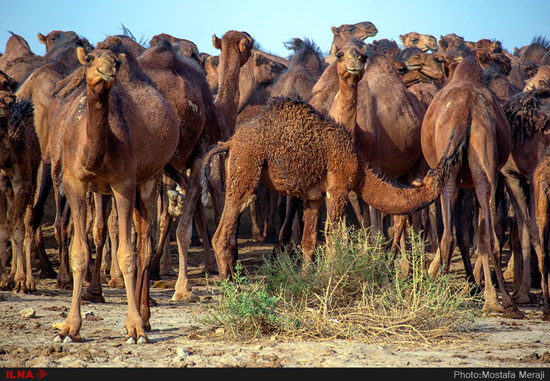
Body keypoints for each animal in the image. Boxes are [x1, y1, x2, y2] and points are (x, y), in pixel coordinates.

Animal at [47, 43, 181, 342]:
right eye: (89, 58)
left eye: (116, 63)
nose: (108, 70)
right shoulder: (74, 182)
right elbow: (79, 253)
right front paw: (69, 328)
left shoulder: (123, 183)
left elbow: (127, 255)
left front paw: (134, 328)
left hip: (149, 178)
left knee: (145, 243)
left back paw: (145, 317)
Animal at [422, 55, 528, 318]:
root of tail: (465, 112)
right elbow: (475, 234)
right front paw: (474, 287)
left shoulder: (460, 182)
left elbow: (462, 233)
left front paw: (469, 284)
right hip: (484, 165)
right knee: (489, 234)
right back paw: (501, 302)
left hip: (453, 173)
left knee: (450, 233)